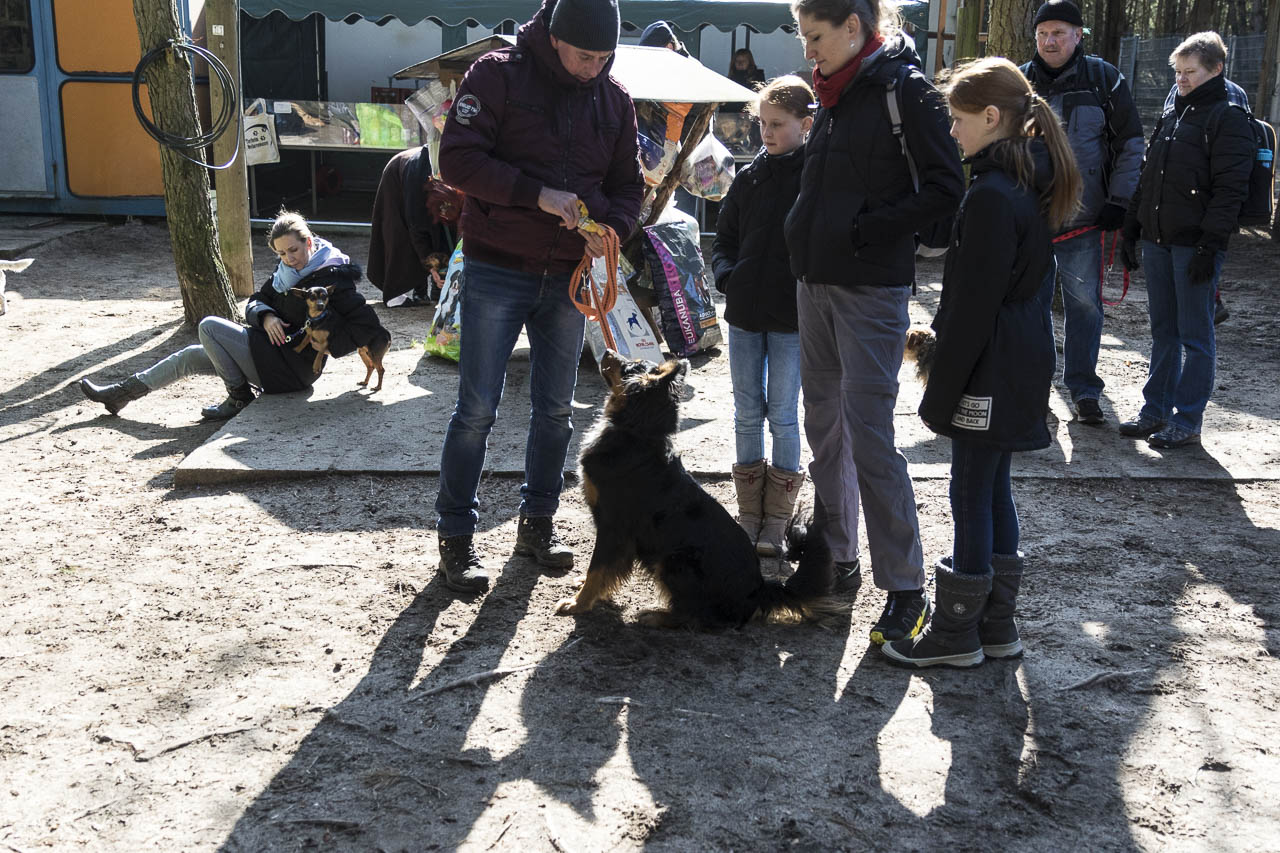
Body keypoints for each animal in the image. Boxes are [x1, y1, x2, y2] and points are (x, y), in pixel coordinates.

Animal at [555, 350, 846, 629]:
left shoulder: (612, 525)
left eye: (628, 366)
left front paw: (578, 603)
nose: (606, 350)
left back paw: (656, 617)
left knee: (699, 617)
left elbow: (597, 567)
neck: (636, 433)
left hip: (675, 560)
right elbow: (607, 570)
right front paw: (592, 593)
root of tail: (758, 589)